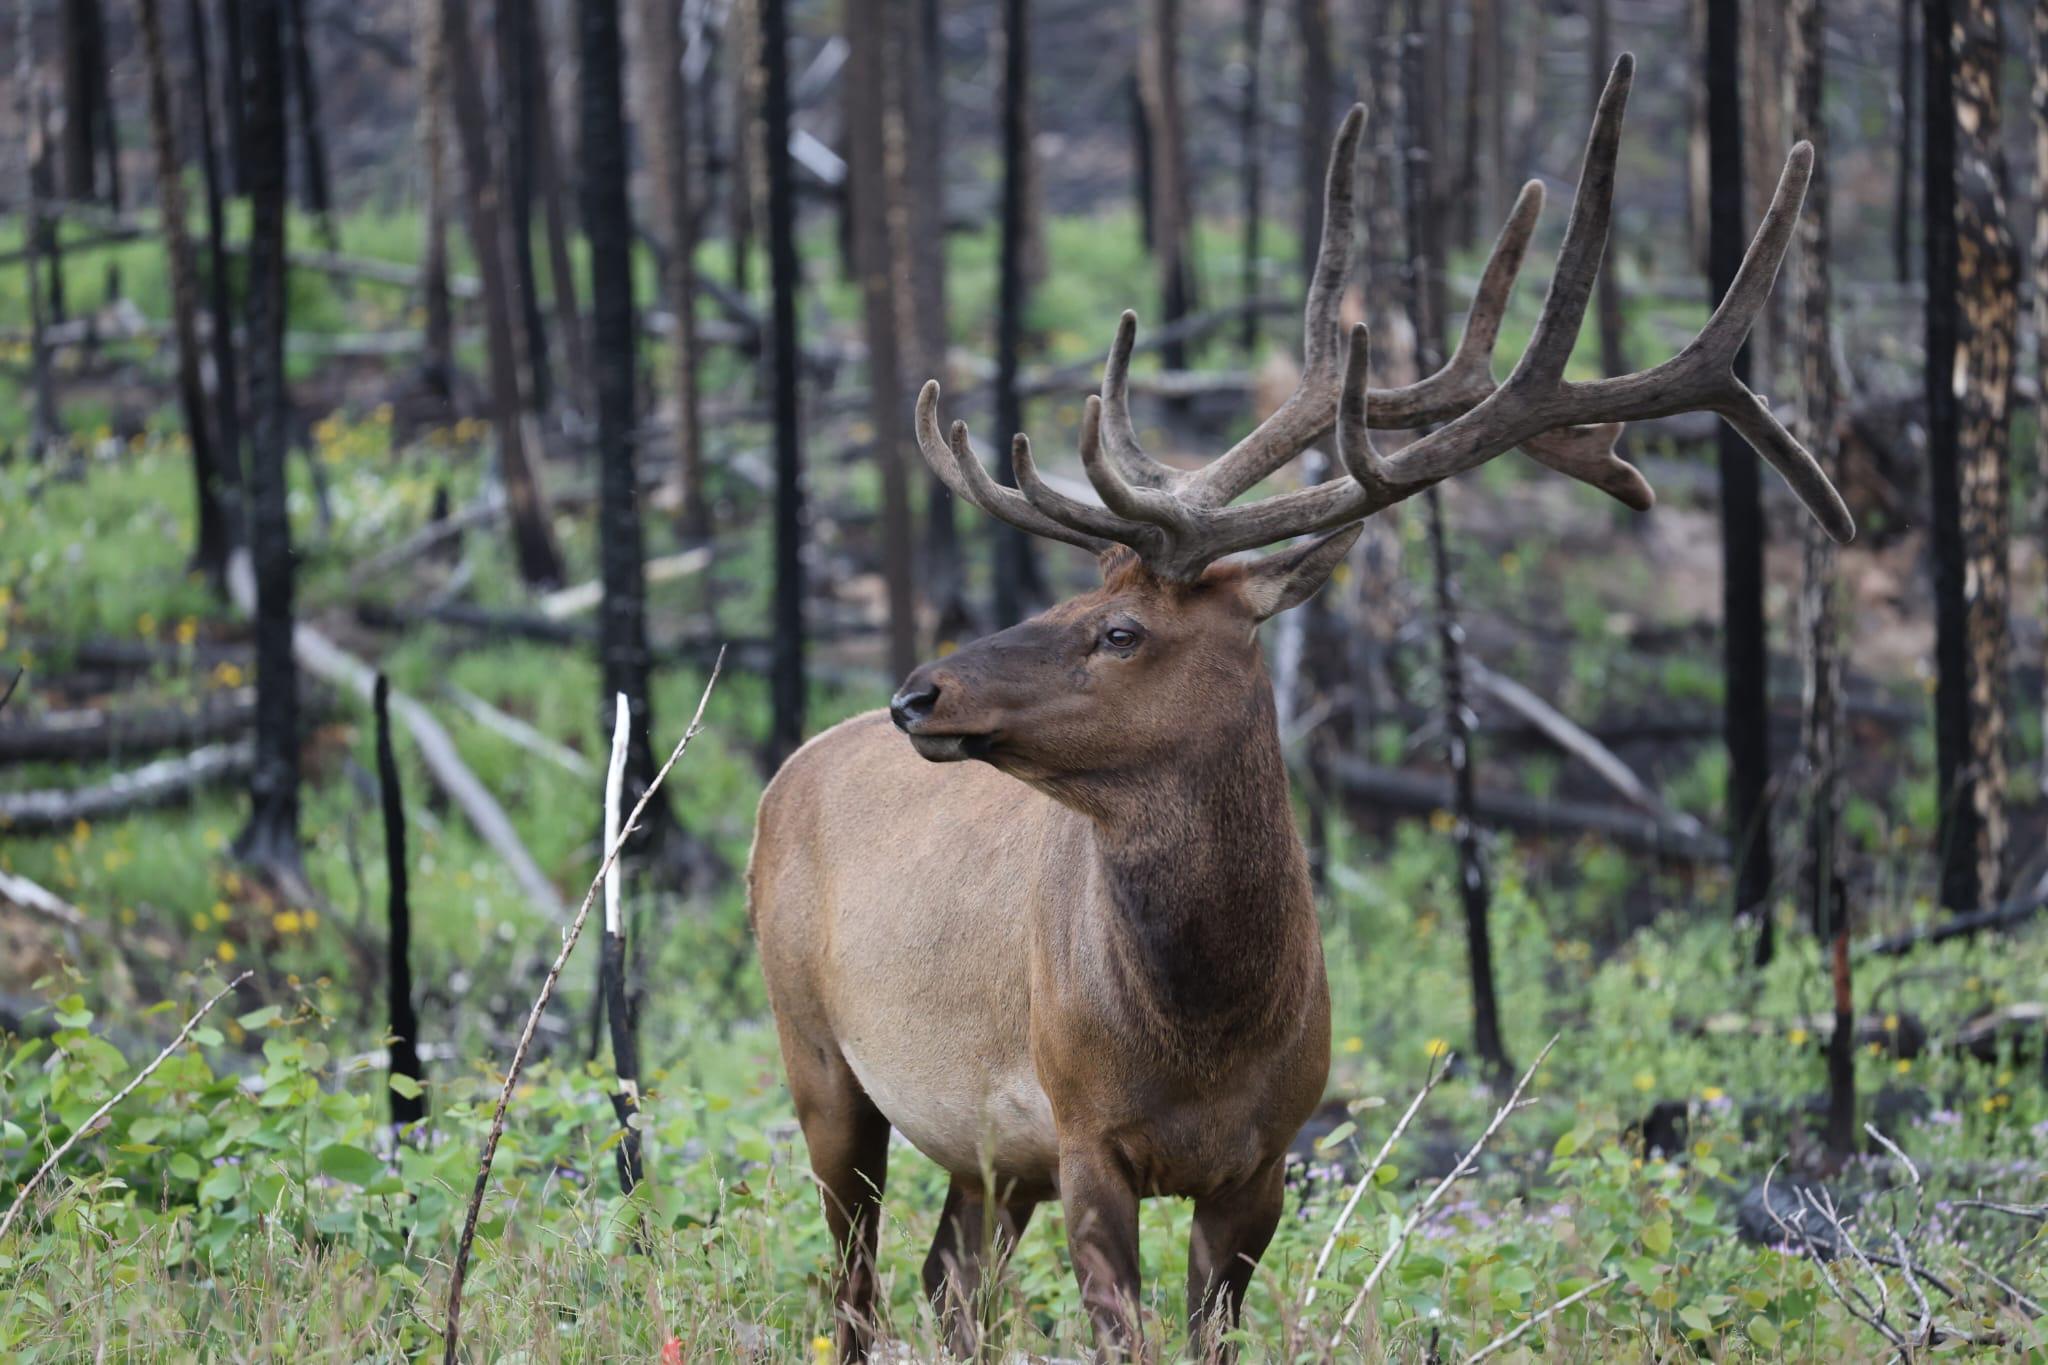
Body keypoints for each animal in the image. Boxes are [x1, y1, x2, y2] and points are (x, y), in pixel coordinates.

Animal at [749, 55, 1852, 1362]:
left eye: (1117, 629)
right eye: (1078, 596)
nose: (919, 691)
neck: (1203, 1029)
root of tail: (785, 773)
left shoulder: (1263, 1160)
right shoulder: (1080, 1132)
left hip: (978, 1151)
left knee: (944, 1283)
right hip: (818, 1056)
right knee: (854, 1285)